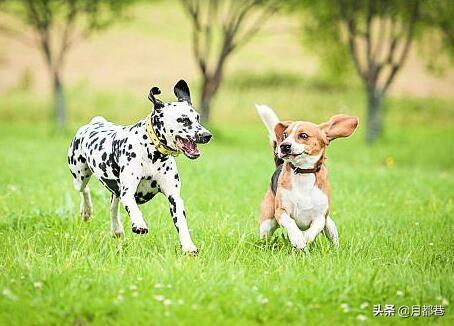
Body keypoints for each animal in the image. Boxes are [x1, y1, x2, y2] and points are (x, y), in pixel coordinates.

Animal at [68, 80, 213, 253]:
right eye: (183, 119)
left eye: (197, 118)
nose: (207, 135)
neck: (152, 153)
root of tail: (95, 123)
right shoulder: (128, 191)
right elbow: (132, 206)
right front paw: (139, 223)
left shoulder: (174, 197)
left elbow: (182, 223)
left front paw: (188, 246)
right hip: (80, 177)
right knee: (85, 190)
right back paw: (86, 211)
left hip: (114, 189)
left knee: (113, 205)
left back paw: (116, 228)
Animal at [255, 104, 358, 250]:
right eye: (285, 135)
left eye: (303, 135)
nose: (284, 146)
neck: (303, 172)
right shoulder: (281, 211)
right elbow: (290, 223)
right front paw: (298, 239)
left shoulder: (321, 216)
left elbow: (314, 229)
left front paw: (305, 238)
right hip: (267, 223)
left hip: (330, 225)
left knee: (332, 236)